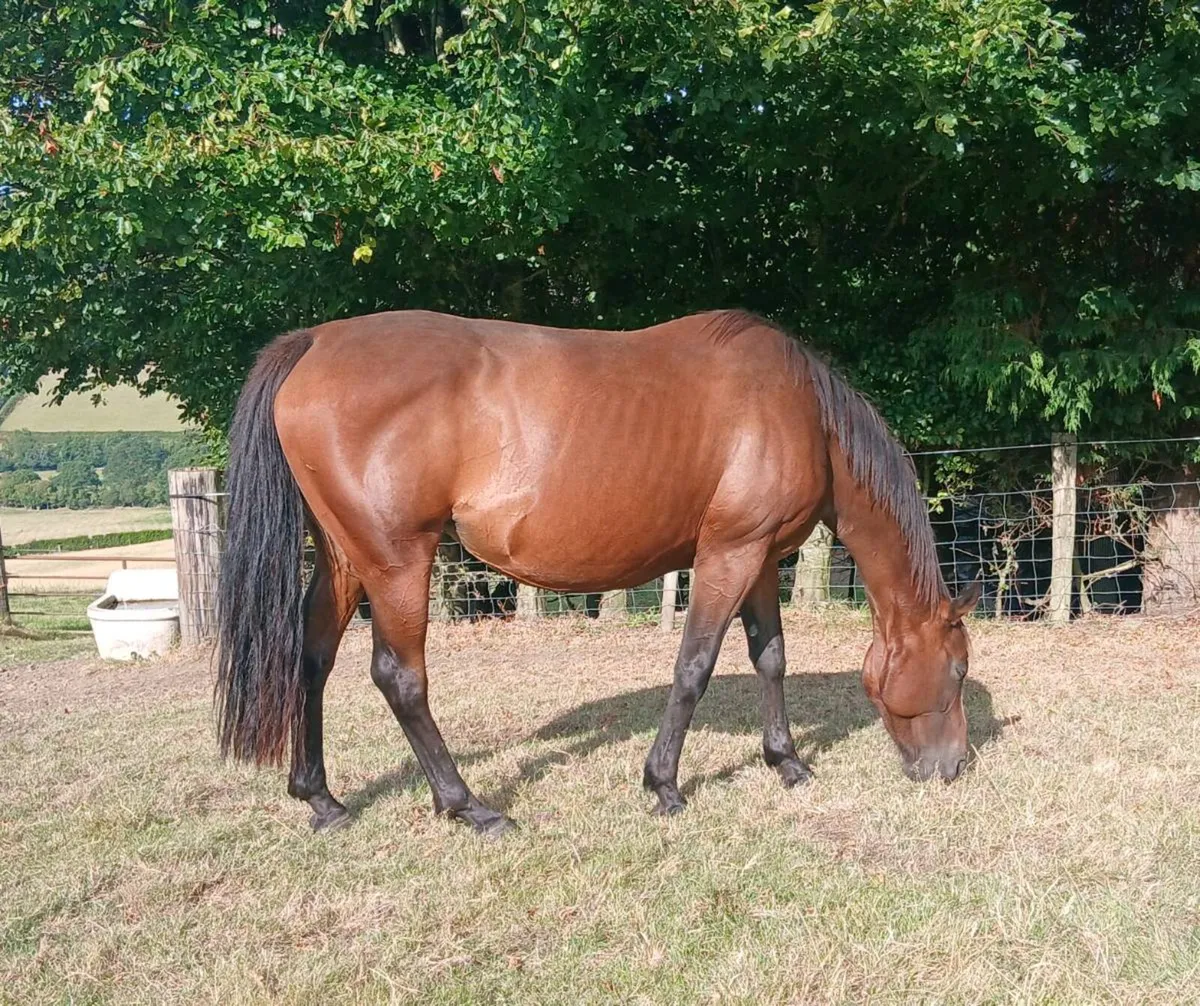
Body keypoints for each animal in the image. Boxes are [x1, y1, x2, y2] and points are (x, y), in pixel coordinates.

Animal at [215, 309, 981, 836]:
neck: (802, 414)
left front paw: (786, 761)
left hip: (346, 557)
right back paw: (470, 806)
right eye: (956, 670)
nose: (957, 767)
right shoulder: (728, 554)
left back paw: (322, 798)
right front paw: (664, 784)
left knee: (312, 658)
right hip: (397, 561)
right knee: (399, 677)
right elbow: (694, 665)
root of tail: (316, 342)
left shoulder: (760, 558)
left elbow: (771, 657)